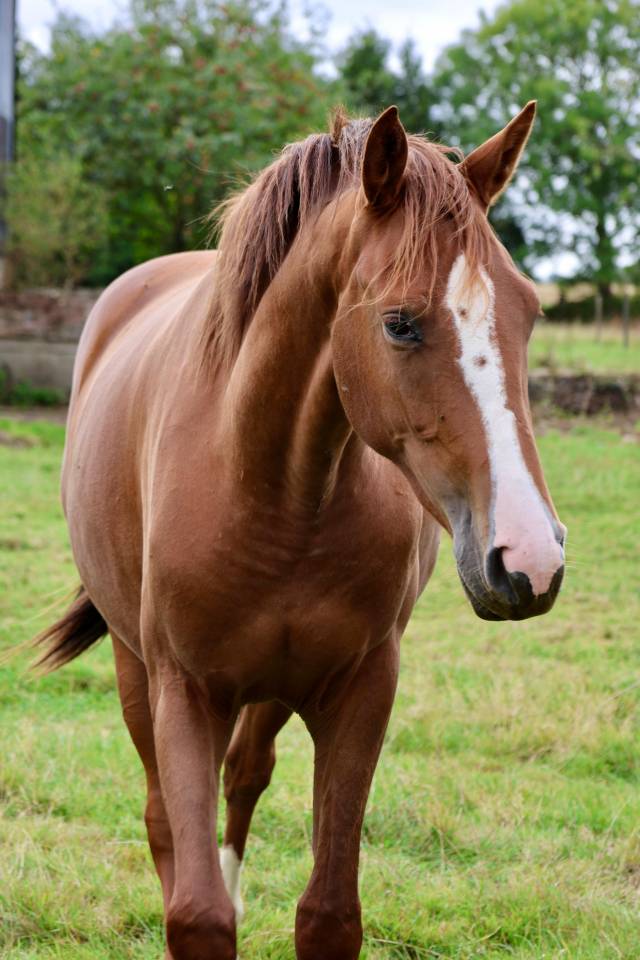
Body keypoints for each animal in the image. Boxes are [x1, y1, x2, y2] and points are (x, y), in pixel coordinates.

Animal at [35, 102, 565, 960]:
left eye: (530, 311)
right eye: (399, 324)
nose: (531, 558)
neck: (275, 489)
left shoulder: (361, 690)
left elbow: (328, 913)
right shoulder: (184, 693)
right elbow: (196, 909)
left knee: (246, 775)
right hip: (133, 667)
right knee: (164, 816)